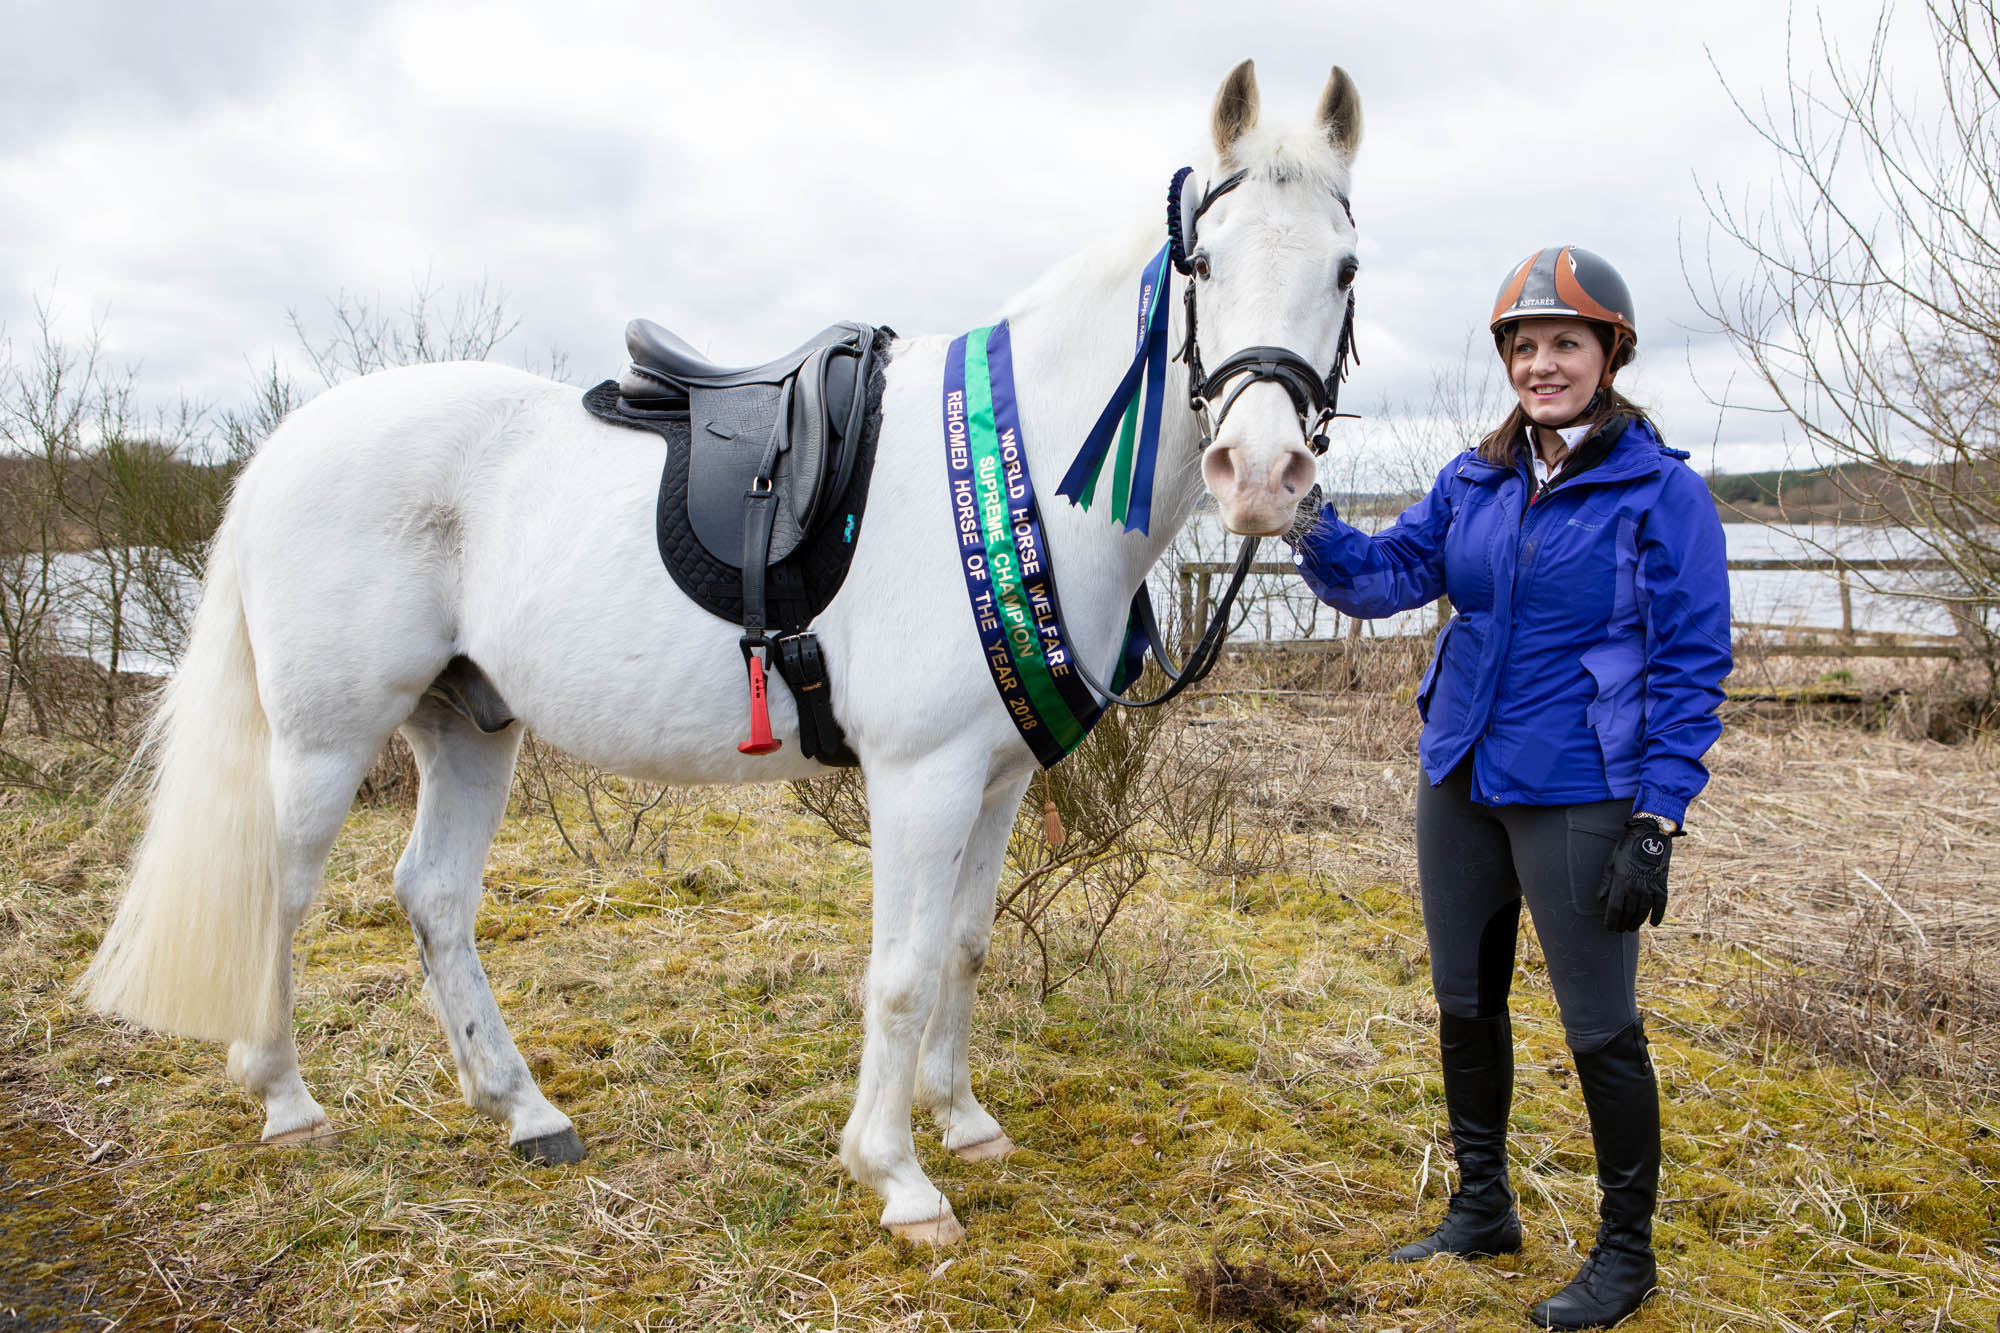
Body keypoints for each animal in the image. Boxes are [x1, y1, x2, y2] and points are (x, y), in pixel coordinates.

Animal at [78, 59, 1360, 1248]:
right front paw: (897, 1177)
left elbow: (963, 946)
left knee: (433, 894)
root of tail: (289, 442)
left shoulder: (995, 778)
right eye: (1204, 263)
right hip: (323, 738)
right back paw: (287, 1099)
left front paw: (962, 1122)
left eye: (1343, 269)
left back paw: (523, 1109)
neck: (1015, 465)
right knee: (281, 891)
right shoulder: (922, 778)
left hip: (469, 726)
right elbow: (901, 970)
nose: (1260, 474)